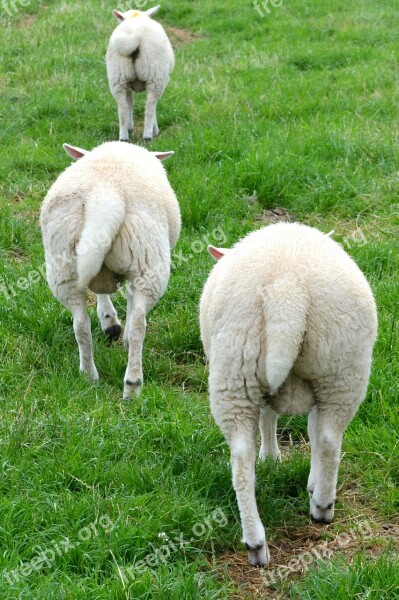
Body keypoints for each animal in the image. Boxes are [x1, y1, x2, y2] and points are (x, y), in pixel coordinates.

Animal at [39, 142, 181, 398]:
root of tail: (104, 195)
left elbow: (102, 293)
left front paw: (108, 320)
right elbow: (131, 306)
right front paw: (119, 332)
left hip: (63, 268)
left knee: (80, 324)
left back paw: (89, 376)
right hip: (148, 262)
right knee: (139, 324)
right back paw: (133, 385)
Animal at [106, 5, 175, 143]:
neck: (136, 17)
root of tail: (134, 39)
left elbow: (130, 102)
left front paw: (130, 127)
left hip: (118, 76)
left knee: (122, 107)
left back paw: (124, 136)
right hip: (155, 75)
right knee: (150, 106)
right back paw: (148, 135)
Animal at [200, 221, 378, 568]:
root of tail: (287, 292)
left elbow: (278, 419)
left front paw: (276, 461)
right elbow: (299, 425)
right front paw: (284, 465)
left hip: (239, 370)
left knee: (244, 456)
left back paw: (262, 539)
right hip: (340, 371)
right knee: (328, 439)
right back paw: (317, 509)